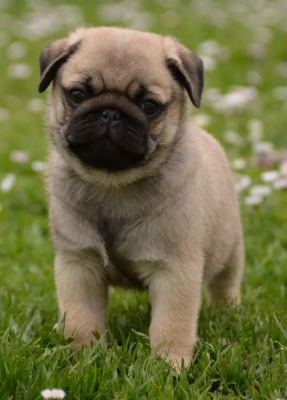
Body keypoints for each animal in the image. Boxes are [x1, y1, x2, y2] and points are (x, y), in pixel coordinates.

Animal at [38, 26, 245, 370]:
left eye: (149, 106)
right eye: (77, 95)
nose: (110, 113)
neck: (112, 184)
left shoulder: (174, 271)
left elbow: (171, 324)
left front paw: (169, 366)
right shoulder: (78, 264)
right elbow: (81, 320)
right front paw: (82, 358)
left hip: (230, 251)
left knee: (225, 283)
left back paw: (227, 312)